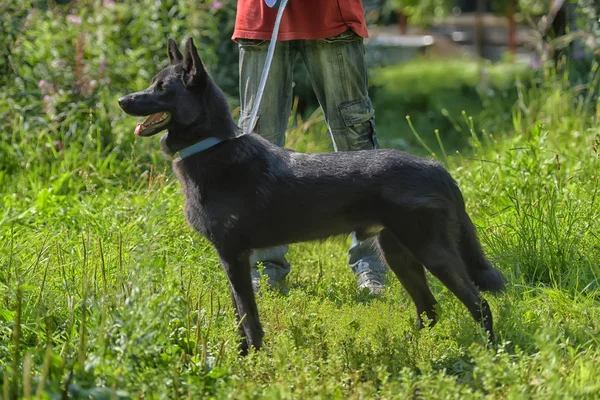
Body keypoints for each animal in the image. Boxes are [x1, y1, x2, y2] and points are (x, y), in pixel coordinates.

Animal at [119, 38, 504, 354]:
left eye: (162, 88)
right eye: (152, 83)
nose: (122, 100)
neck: (211, 146)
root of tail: (438, 169)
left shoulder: (235, 257)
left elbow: (249, 318)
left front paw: (252, 361)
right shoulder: (229, 259)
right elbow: (239, 317)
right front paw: (241, 356)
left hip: (432, 252)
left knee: (479, 305)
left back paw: (491, 356)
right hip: (400, 254)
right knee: (430, 308)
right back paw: (417, 349)